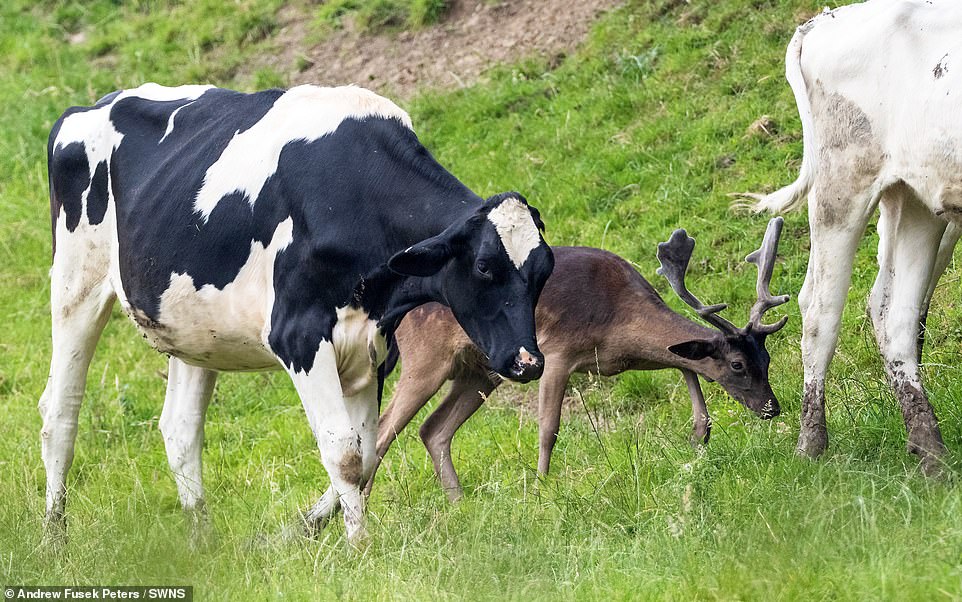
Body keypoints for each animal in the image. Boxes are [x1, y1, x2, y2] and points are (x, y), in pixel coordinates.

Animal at [43, 83, 556, 544]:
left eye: (543, 271)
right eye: (484, 266)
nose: (528, 362)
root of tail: (92, 105)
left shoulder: (373, 347)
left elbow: (365, 453)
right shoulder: (300, 337)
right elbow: (344, 453)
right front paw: (359, 548)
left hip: (192, 329)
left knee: (180, 429)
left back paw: (201, 541)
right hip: (75, 285)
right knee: (59, 412)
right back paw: (54, 538)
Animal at [364, 218, 784, 500]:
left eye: (766, 360)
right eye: (737, 364)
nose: (772, 407)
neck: (615, 320)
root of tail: (396, 311)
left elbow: (688, 371)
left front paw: (698, 441)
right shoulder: (558, 351)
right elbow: (548, 428)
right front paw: (541, 488)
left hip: (480, 372)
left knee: (432, 429)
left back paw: (458, 502)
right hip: (425, 358)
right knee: (382, 431)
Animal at [744, 0, 960, 468]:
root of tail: (824, 21)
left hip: (916, 196)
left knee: (895, 312)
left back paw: (929, 452)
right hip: (840, 187)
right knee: (819, 311)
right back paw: (811, 444)